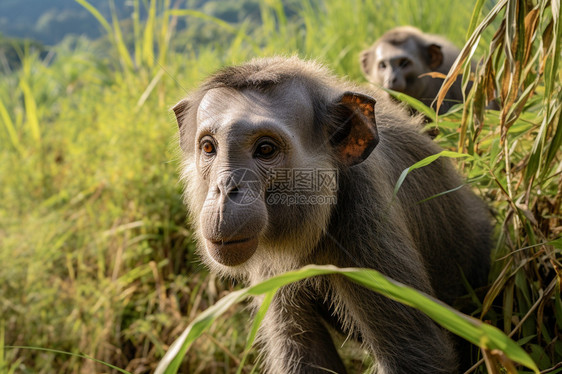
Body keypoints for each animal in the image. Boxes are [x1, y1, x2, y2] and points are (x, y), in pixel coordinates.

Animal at [172, 55, 490, 374]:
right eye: (209, 147)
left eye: (265, 149)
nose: (226, 188)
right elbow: (303, 353)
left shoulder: (367, 215)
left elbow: (415, 352)